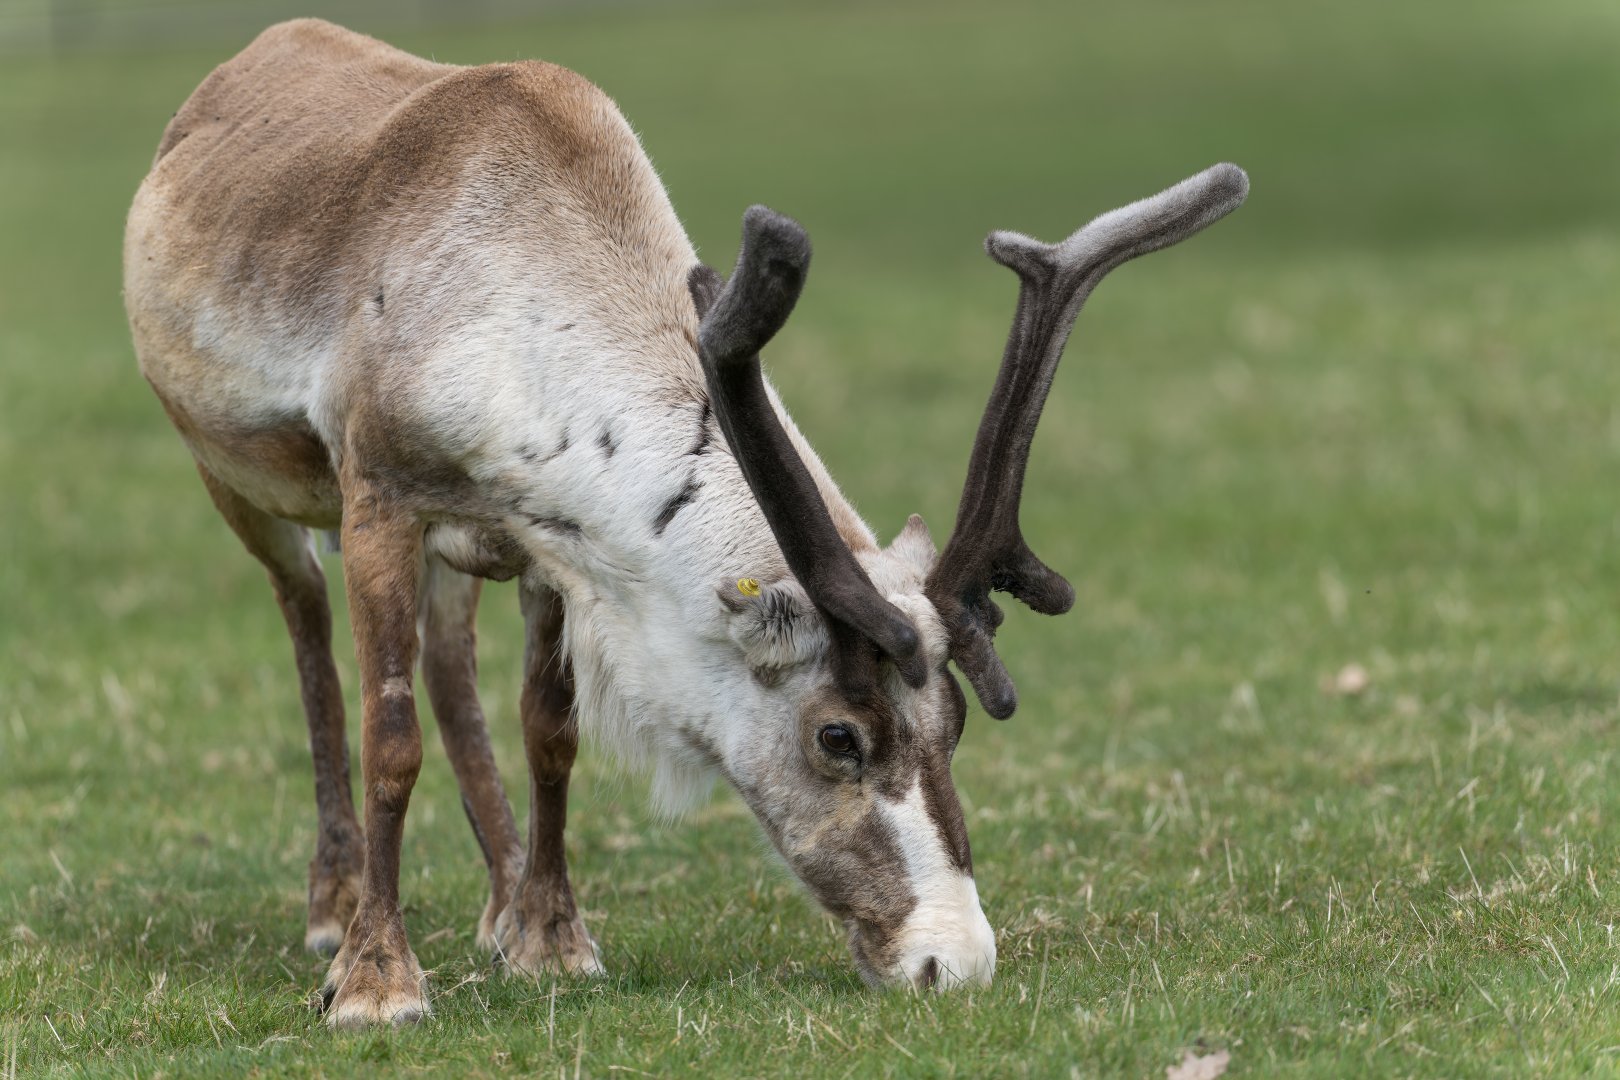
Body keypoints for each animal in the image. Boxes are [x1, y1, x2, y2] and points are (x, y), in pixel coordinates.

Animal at [123, 18, 1246, 1027]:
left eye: (957, 723)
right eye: (838, 735)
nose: (954, 960)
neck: (510, 314)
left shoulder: (546, 542)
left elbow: (550, 730)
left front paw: (551, 939)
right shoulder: (380, 496)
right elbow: (387, 735)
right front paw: (375, 984)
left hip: (451, 551)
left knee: (449, 666)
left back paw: (497, 900)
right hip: (237, 479)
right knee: (308, 631)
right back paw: (336, 904)